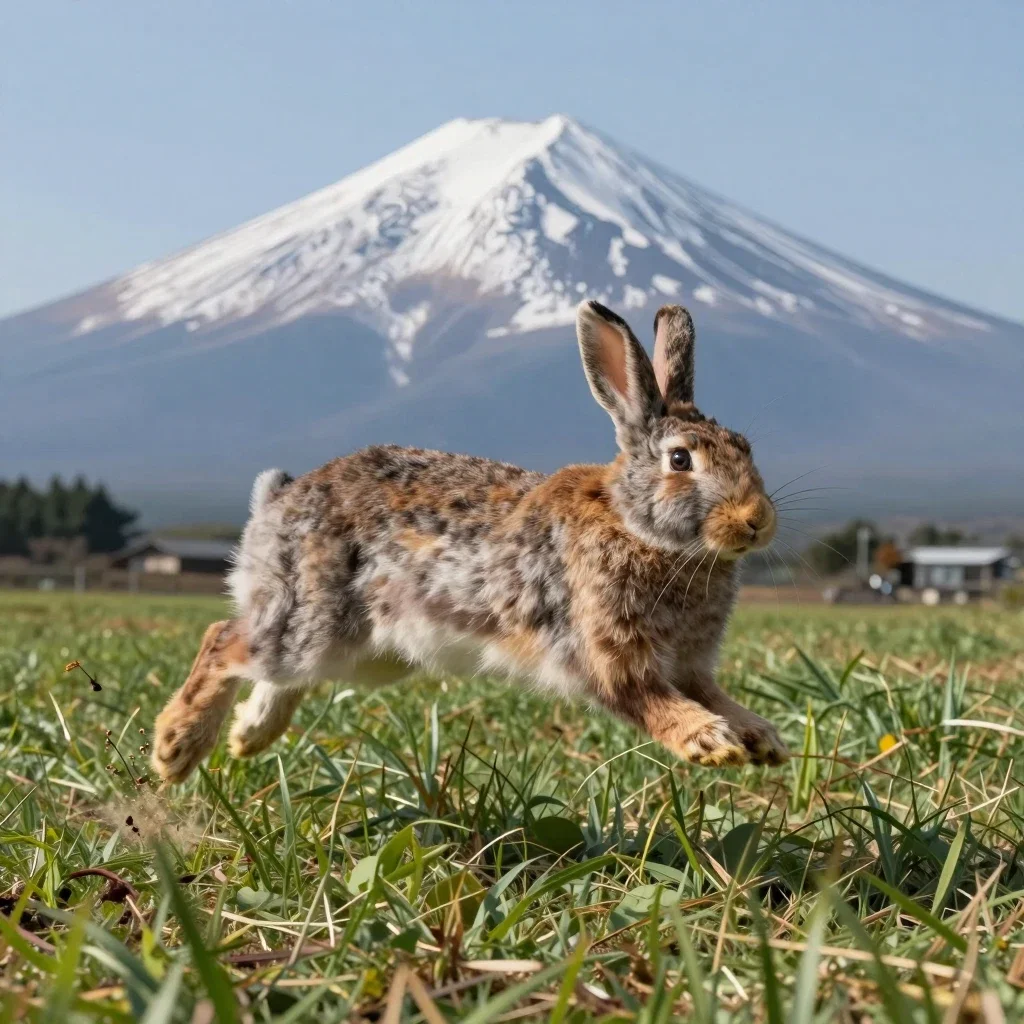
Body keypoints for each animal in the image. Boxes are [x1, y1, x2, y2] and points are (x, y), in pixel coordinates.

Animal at [152, 300, 788, 783]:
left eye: (746, 447)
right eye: (680, 460)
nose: (756, 520)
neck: (637, 527)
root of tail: (273, 504)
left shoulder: (691, 666)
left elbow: (714, 694)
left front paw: (761, 739)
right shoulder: (608, 653)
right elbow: (652, 703)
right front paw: (709, 742)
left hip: (366, 657)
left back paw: (248, 736)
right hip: (313, 622)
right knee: (224, 640)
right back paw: (176, 747)